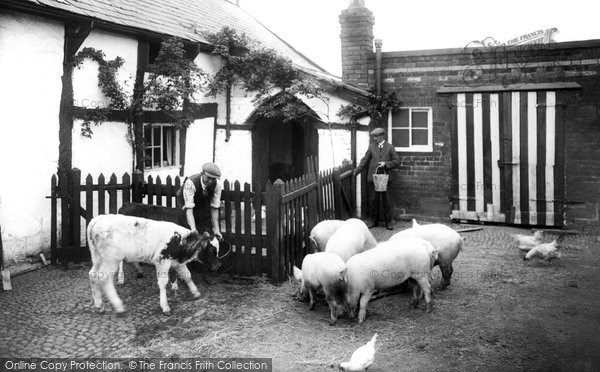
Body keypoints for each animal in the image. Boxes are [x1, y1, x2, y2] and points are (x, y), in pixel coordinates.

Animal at [88, 214, 219, 316]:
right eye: (211, 250)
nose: (218, 266)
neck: (179, 239)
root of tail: (97, 220)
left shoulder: (177, 263)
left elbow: (187, 276)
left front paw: (196, 293)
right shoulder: (162, 261)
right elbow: (163, 283)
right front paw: (165, 306)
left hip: (97, 258)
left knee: (93, 275)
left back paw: (99, 305)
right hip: (111, 260)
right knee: (104, 278)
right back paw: (119, 306)